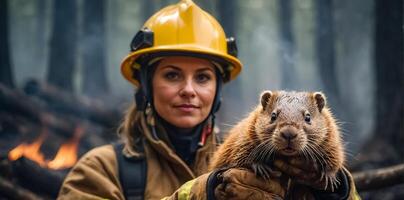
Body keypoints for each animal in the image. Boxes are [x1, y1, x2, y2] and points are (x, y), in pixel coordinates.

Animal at [210, 90, 346, 198]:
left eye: (308, 117)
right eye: (273, 115)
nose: (289, 133)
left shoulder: (331, 139)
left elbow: (334, 156)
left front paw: (329, 177)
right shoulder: (245, 136)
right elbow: (239, 154)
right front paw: (261, 167)